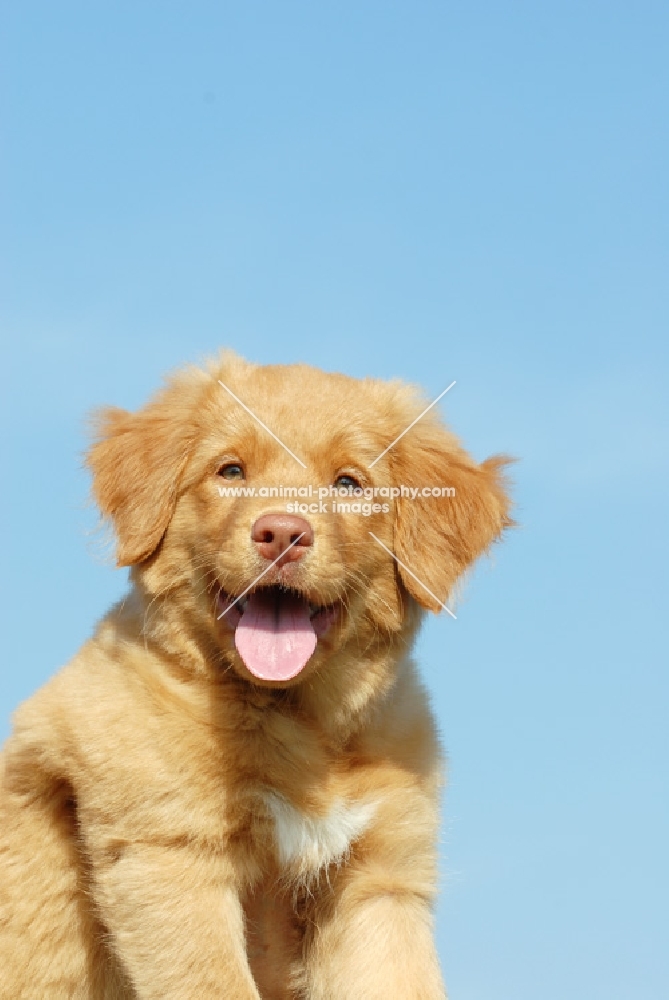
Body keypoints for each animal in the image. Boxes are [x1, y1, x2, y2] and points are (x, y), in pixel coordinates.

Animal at [1, 350, 512, 992]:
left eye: (349, 483)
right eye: (231, 471)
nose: (282, 535)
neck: (299, 721)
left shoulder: (382, 879)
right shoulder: (168, 853)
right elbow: (217, 983)